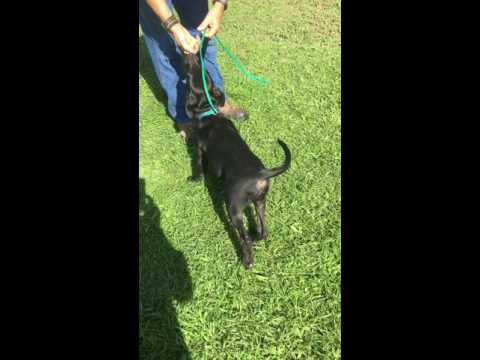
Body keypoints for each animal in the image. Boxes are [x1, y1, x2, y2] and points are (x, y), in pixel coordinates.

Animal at [182, 52, 290, 268]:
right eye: (205, 72)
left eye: (190, 78)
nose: (192, 55)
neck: (209, 112)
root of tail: (262, 173)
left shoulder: (199, 151)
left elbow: (198, 168)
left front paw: (194, 179)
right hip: (260, 201)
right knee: (263, 230)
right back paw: (257, 236)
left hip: (234, 206)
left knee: (243, 236)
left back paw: (247, 260)